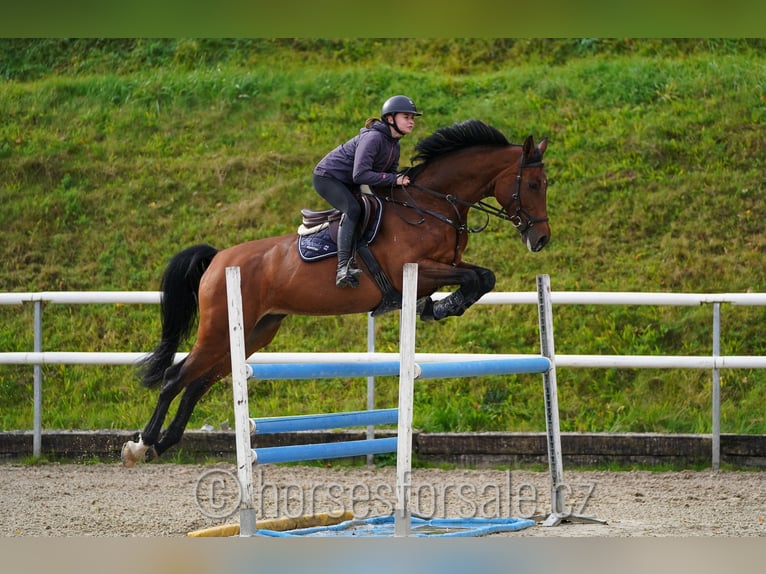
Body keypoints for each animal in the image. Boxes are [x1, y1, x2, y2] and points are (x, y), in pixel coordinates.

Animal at [121, 120, 552, 468]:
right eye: (532, 184)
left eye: (545, 185)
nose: (541, 239)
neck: (431, 205)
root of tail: (218, 259)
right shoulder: (417, 269)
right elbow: (477, 279)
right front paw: (446, 305)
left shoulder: (447, 265)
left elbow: (483, 277)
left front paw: (440, 306)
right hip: (218, 328)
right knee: (176, 377)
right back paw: (141, 445)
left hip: (255, 331)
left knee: (200, 381)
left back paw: (166, 442)